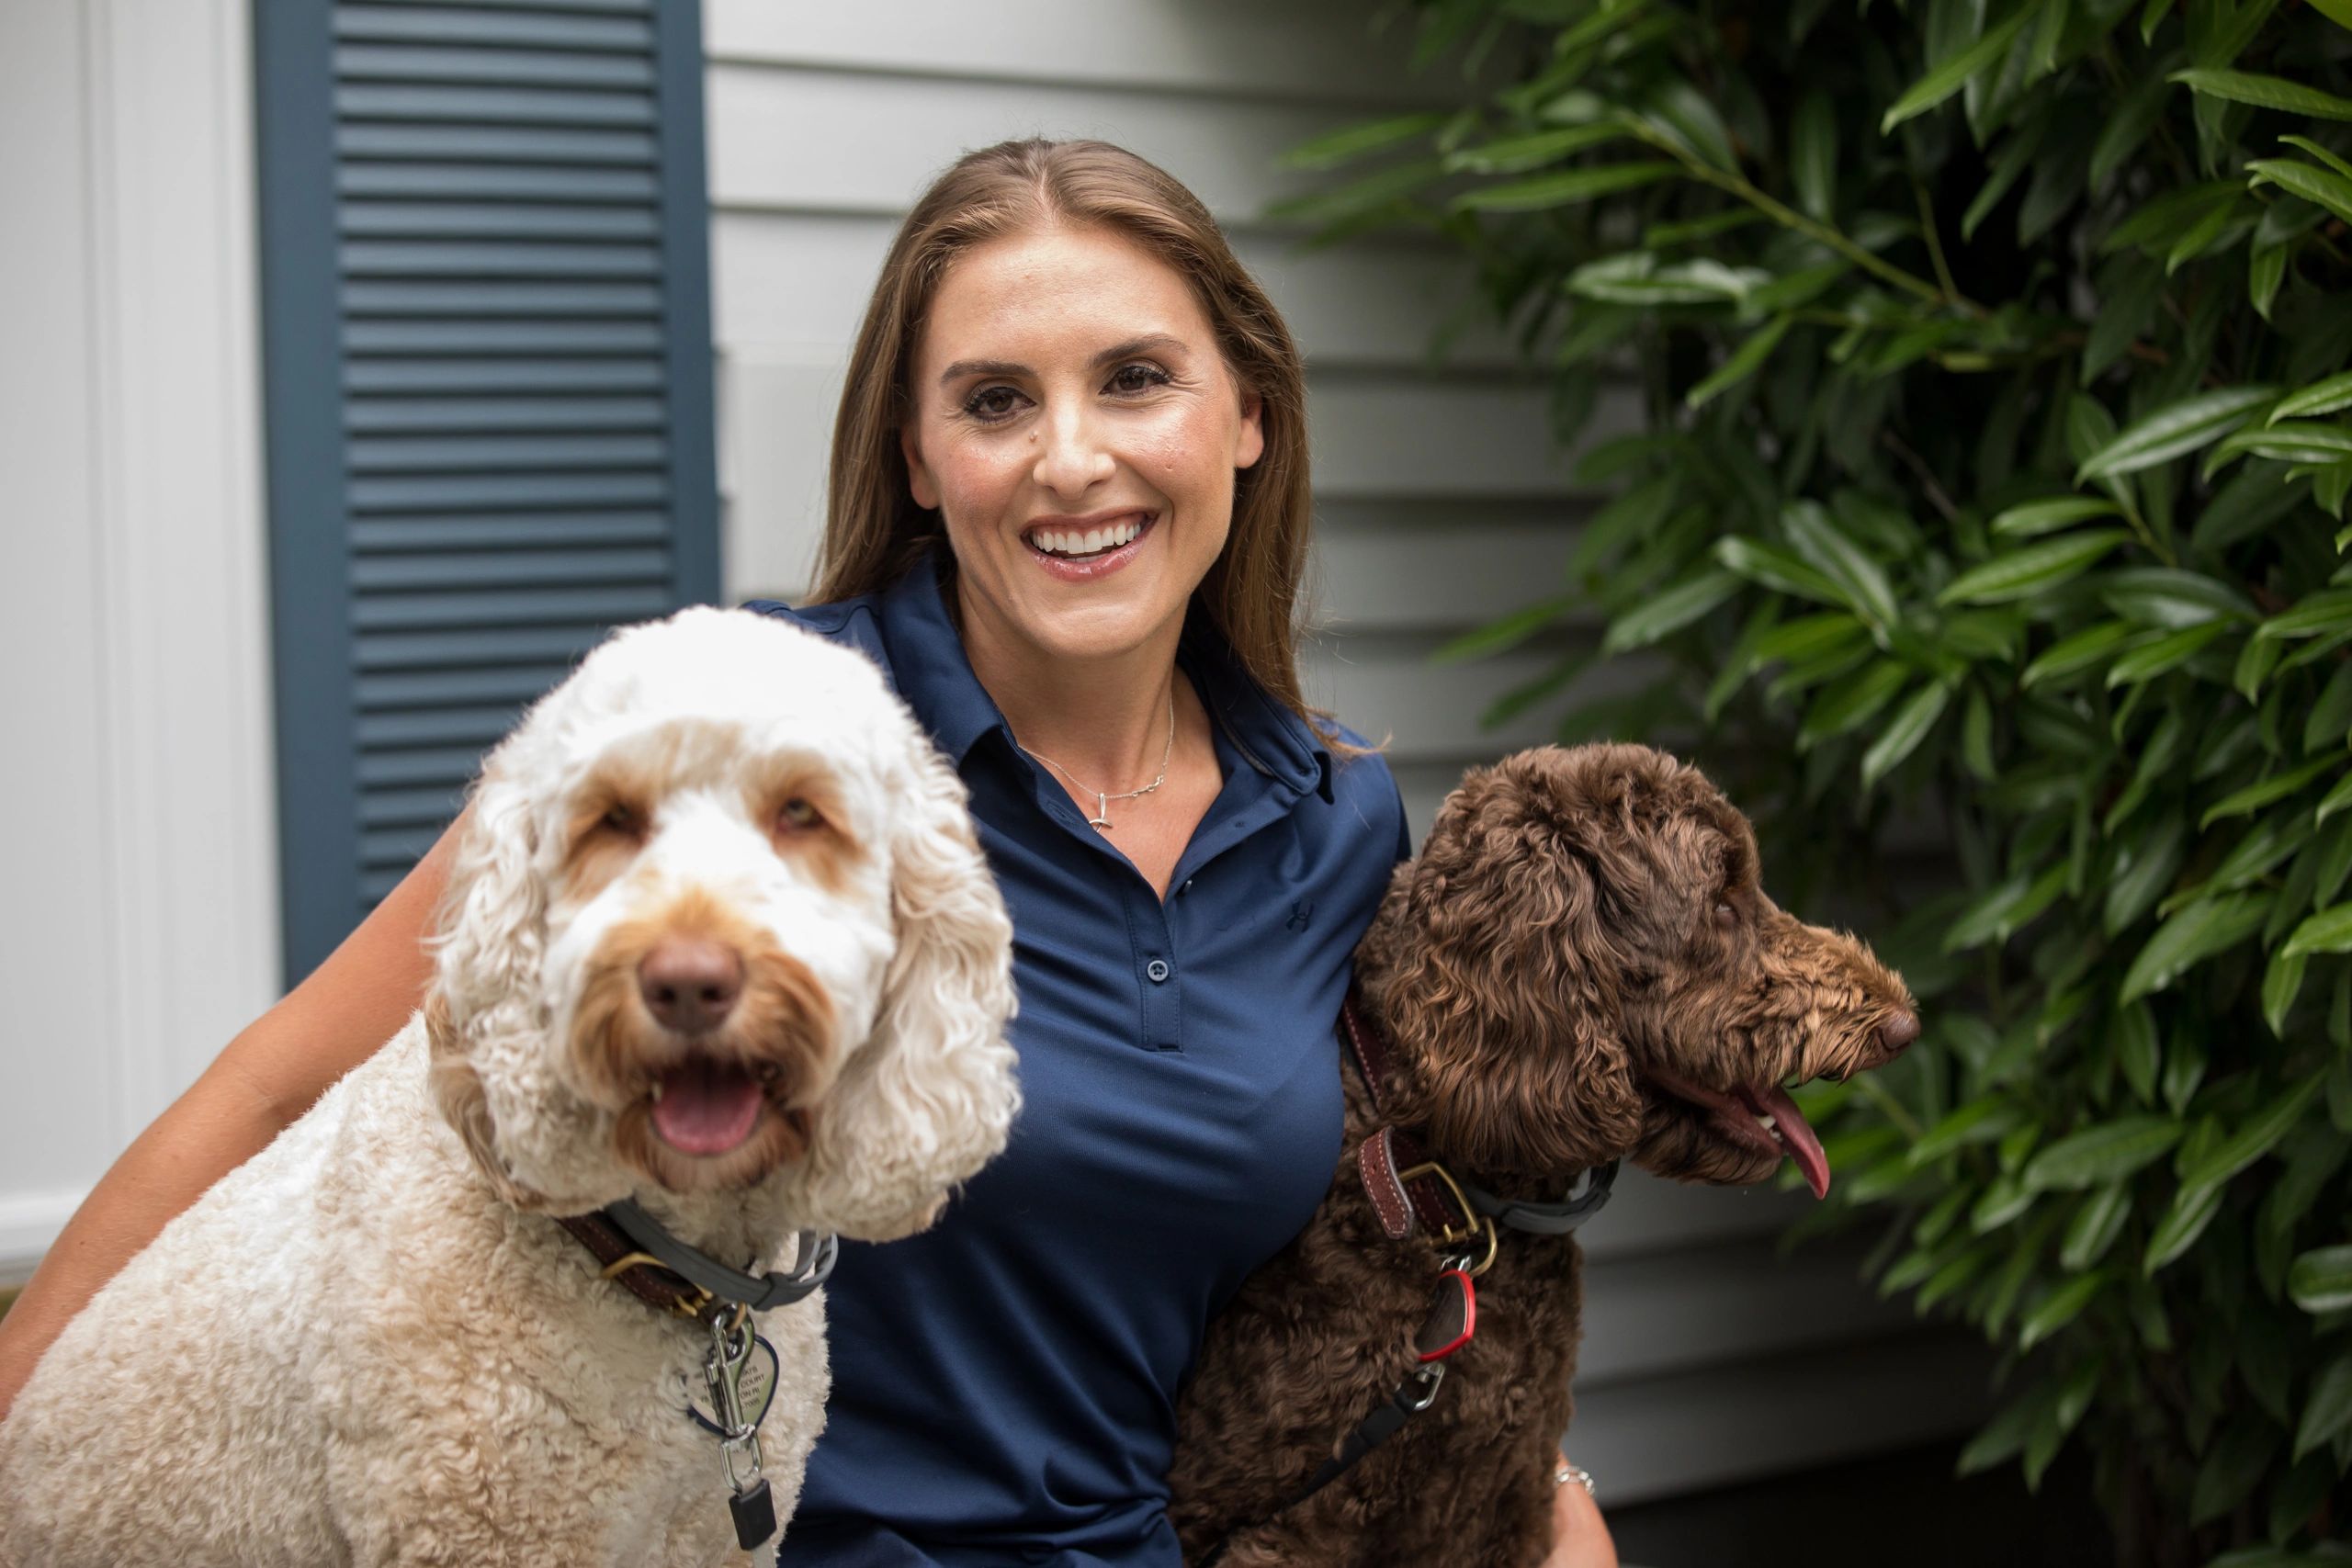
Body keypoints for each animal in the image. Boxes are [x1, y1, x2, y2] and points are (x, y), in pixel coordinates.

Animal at [0, 606, 1021, 1561]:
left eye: (801, 813)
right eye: (613, 820)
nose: (688, 981)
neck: (654, 1270)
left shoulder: (706, 1538)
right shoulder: (483, 1527)